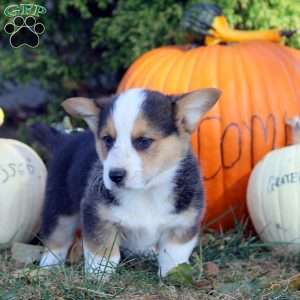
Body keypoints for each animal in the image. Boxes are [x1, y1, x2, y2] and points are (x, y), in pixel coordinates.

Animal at [34, 87, 220, 278]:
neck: (145, 191)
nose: (115, 175)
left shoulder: (182, 223)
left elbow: (172, 255)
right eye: (108, 139)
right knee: (57, 239)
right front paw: (97, 278)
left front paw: (172, 276)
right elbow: (102, 254)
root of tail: (64, 139)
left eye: (143, 141)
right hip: (60, 206)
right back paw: (47, 268)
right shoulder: (98, 216)